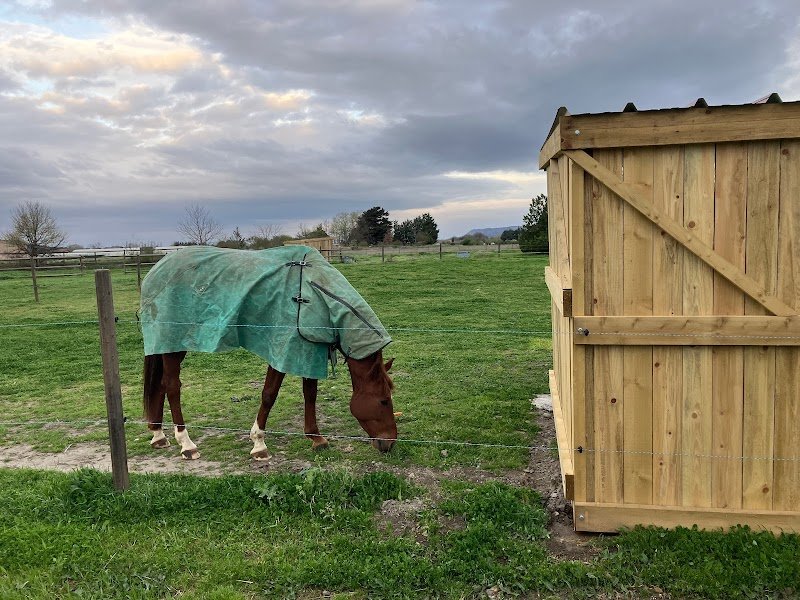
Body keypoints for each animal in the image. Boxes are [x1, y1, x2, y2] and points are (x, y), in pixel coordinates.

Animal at [139, 245, 398, 460]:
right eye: (384, 400)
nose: (391, 443)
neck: (314, 292)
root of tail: (156, 270)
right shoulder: (282, 350)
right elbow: (269, 395)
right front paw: (259, 444)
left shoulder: (307, 351)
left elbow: (310, 394)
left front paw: (316, 438)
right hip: (171, 344)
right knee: (173, 387)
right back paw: (187, 444)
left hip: (172, 345)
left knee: (160, 385)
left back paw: (158, 435)